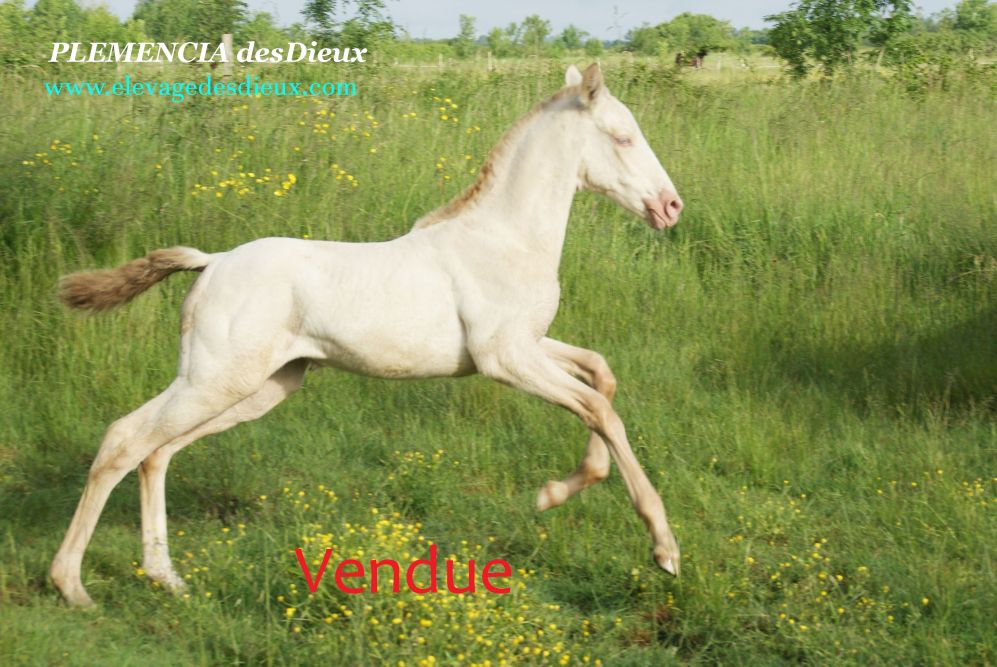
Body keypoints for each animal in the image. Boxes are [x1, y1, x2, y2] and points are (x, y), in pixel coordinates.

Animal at [50, 63, 684, 607]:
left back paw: (167, 578)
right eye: (623, 137)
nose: (671, 206)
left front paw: (557, 490)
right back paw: (72, 586)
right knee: (124, 440)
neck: (504, 238)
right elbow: (600, 409)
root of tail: (213, 262)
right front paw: (663, 548)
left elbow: (601, 375)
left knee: (156, 452)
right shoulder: (505, 358)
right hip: (215, 380)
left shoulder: (526, 345)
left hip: (256, 387)